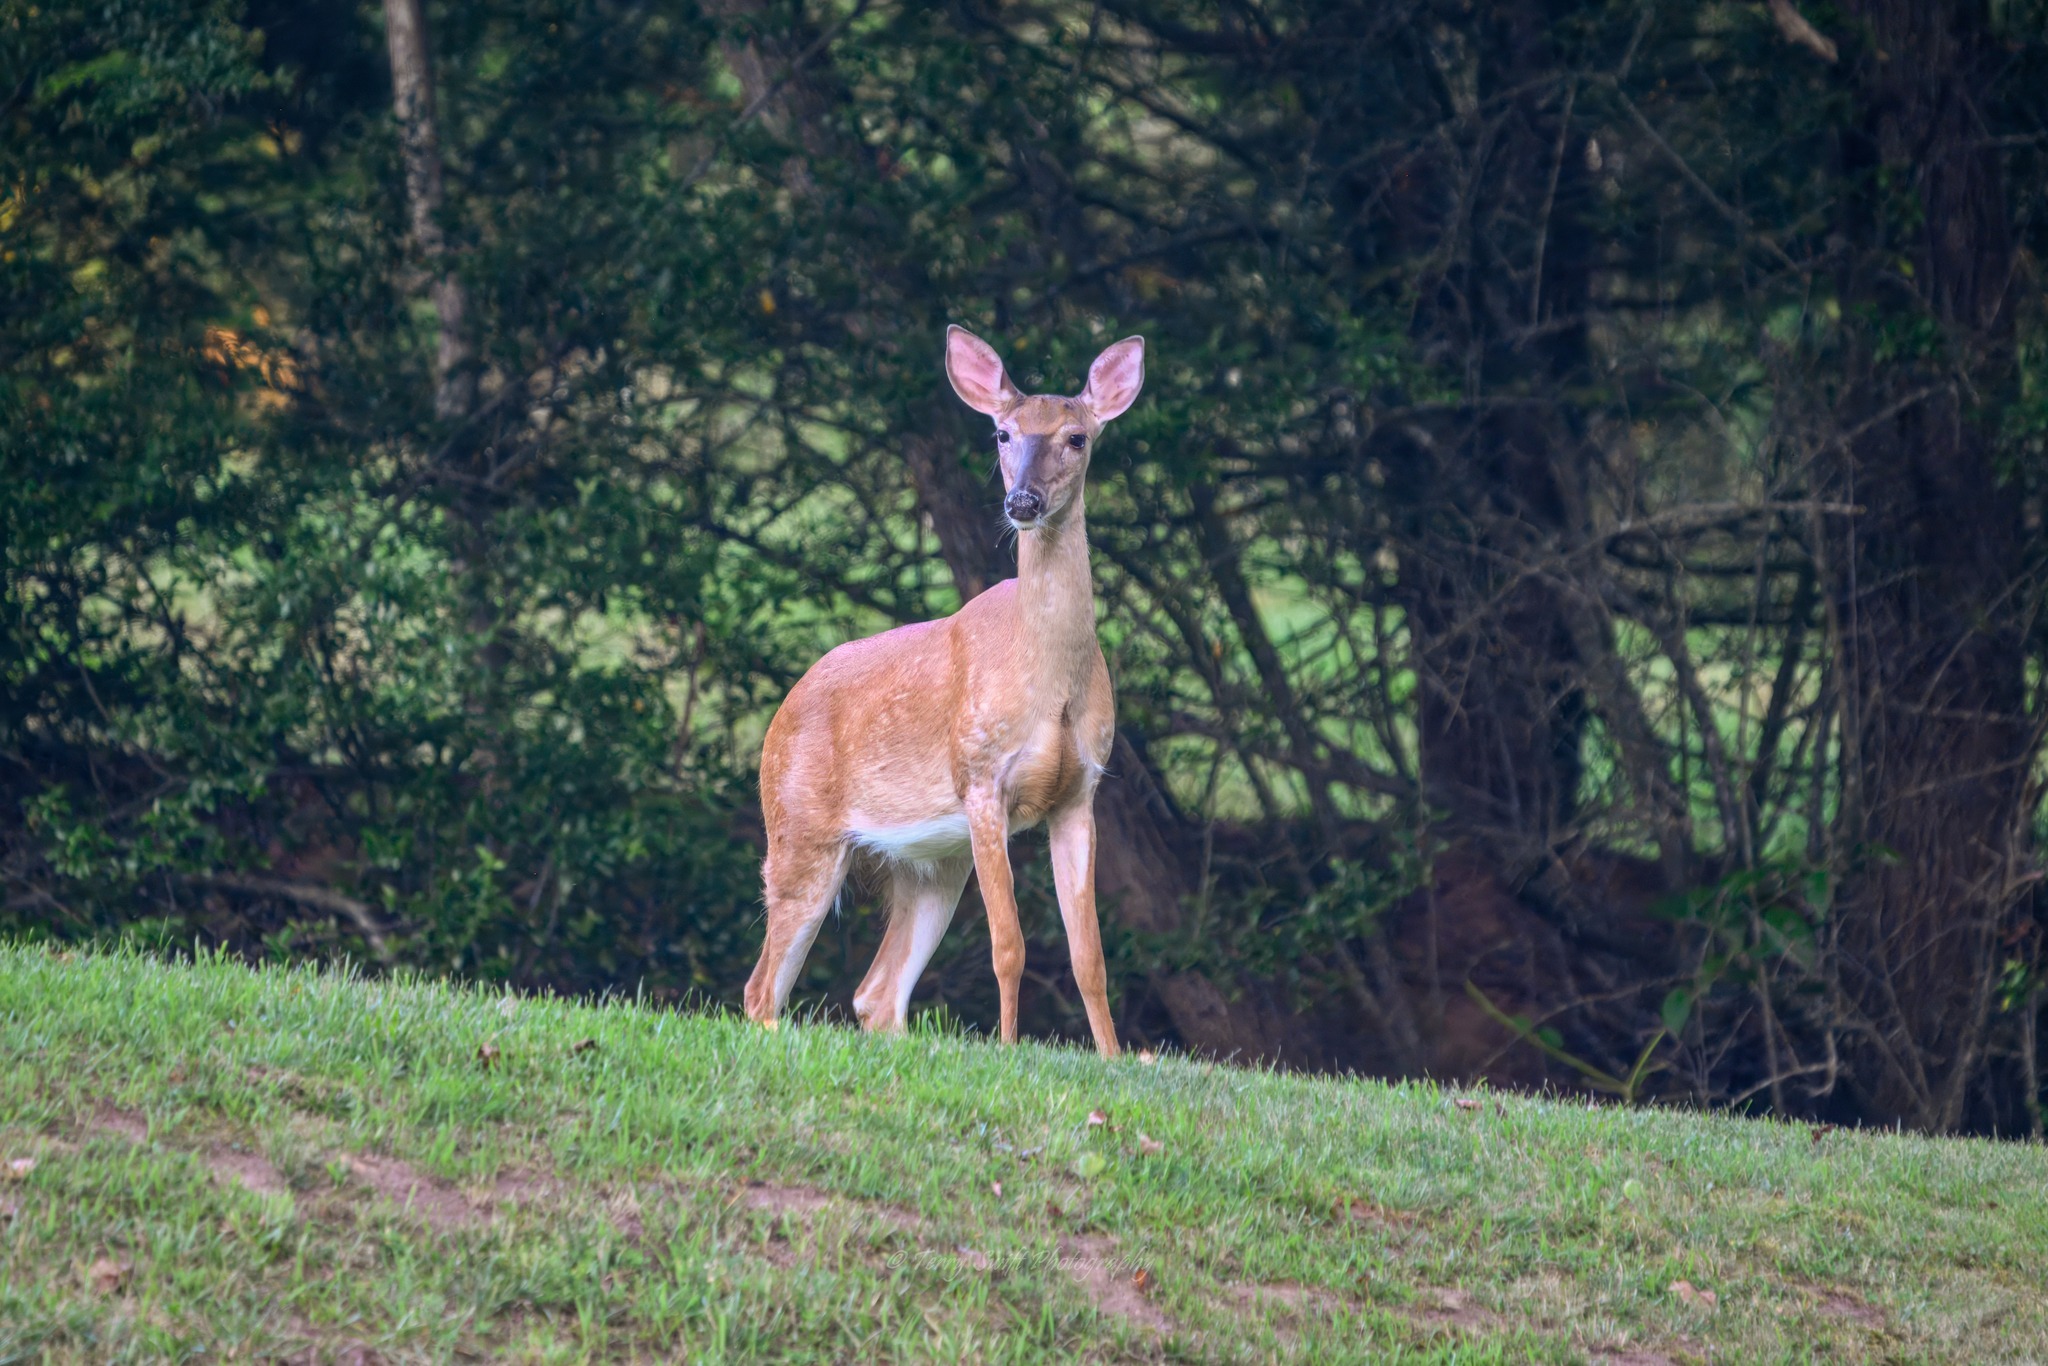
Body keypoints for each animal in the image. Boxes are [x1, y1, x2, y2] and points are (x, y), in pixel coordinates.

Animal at [741, 325, 1144, 1059]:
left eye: (1077, 437)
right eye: (1002, 433)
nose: (1022, 503)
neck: (1049, 683)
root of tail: (779, 714)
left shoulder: (1081, 790)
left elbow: (1089, 956)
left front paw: (1113, 1057)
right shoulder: (981, 775)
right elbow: (1009, 945)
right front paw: (1009, 1048)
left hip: (930, 862)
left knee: (874, 993)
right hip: (798, 828)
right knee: (763, 987)